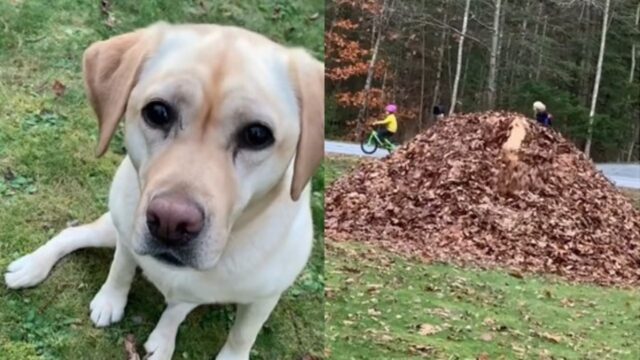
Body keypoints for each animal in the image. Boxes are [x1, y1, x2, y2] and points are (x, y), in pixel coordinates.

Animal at [4, 23, 322, 360]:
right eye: (157, 112)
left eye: (257, 134)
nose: (171, 221)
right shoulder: (127, 239)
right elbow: (120, 270)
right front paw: (110, 300)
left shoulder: (264, 298)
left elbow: (241, 335)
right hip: (112, 226)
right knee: (73, 234)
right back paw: (32, 266)